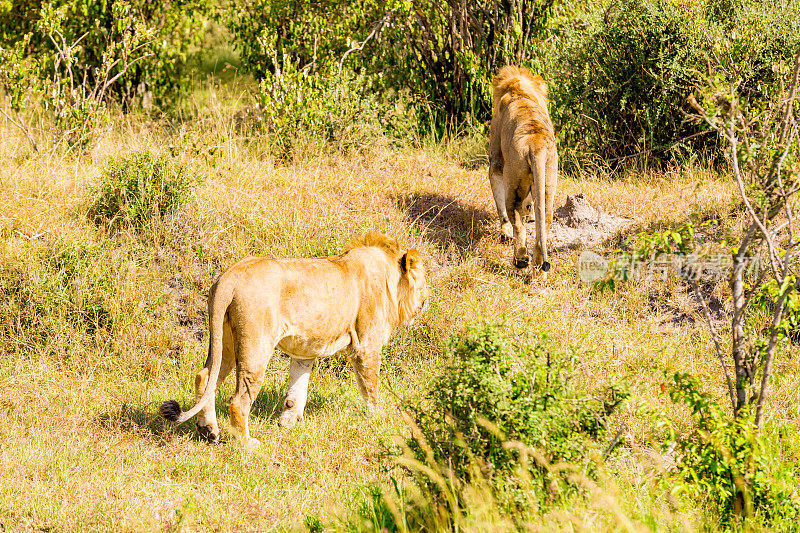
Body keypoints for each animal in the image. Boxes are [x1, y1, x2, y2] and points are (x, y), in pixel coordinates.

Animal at [159, 231, 428, 446]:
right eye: (424, 282)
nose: (428, 300)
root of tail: (229, 277)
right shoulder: (366, 345)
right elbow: (370, 387)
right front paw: (377, 419)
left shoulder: (305, 351)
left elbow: (297, 389)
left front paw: (287, 421)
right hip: (256, 344)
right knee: (238, 399)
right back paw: (246, 443)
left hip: (225, 341)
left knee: (205, 377)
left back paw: (209, 431)